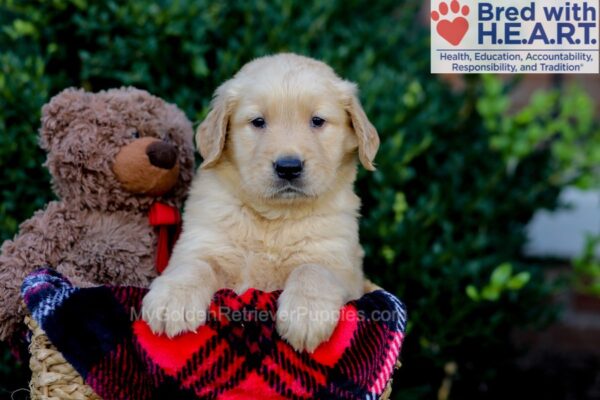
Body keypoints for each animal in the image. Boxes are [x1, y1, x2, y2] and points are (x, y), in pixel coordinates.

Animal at [142, 53, 380, 354]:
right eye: (257, 122)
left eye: (317, 121)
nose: (288, 167)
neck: (274, 217)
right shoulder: (201, 243)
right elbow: (195, 265)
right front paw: (172, 300)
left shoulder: (343, 267)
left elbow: (312, 268)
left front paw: (306, 313)